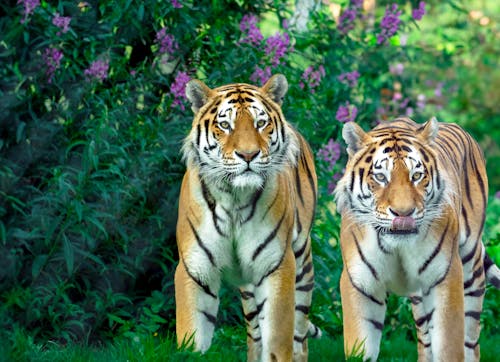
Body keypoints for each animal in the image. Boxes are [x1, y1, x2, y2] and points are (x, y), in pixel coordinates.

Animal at [174, 74, 318, 362]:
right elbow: (191, 334)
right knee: (255, 334)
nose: (249, 155)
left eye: (260, 123)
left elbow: (278, 341)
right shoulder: (194, 268)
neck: (234, 198)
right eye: (225, 125)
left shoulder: (276, 266)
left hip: (302, 264)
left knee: (299, 335)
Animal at [332, 117, 500, 360]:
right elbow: (360, 347)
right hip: (419, 294)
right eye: (380, 177)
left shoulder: (444, 276)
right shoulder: (361, 283)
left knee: (470, 336)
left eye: (417, 176)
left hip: (471, 265)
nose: (403, 213)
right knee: (425, 338)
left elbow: (448, 346)